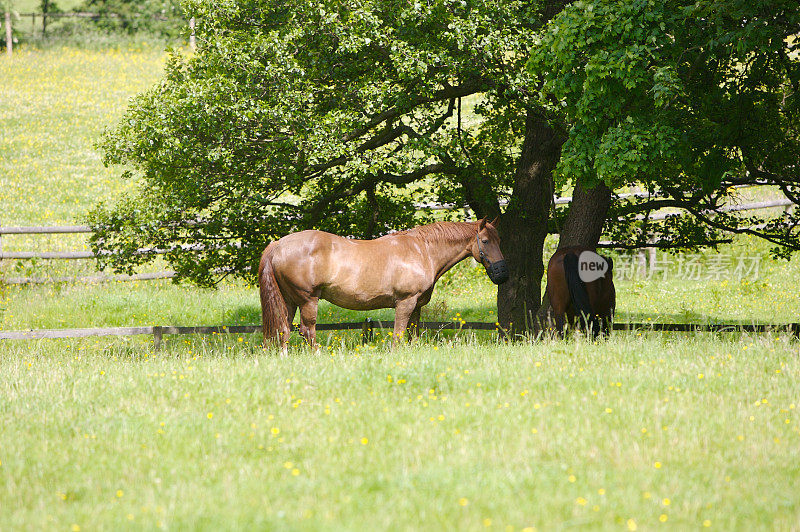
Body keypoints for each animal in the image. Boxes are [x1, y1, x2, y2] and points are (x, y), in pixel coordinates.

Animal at [258, 218, 506, 352]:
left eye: (499, 240)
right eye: (485, 241)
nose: (502, 273)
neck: (422, 250)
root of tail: (278, 245)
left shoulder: (417, 306)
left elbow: (412, 334)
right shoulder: (405, 302)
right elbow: (398, 334)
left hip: (289, 301)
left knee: (284, 330)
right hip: (308, 300)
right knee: (307, 330)